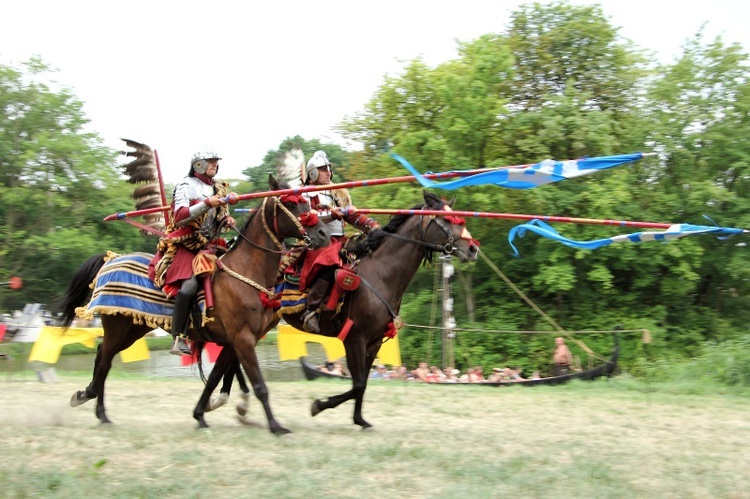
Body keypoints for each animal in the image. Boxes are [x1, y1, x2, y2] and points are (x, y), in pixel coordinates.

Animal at [57, 178, 330, 436]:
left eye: (306, 200)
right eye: (292, 203)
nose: (323, 233)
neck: (247, 272)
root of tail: (110, 260)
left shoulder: (234, 342)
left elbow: (214, 378)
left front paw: (200, 414)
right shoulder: (242, 339)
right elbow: (259, 385)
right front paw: (275, 426)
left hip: (133, 328)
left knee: (102, 353)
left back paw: (90, 400)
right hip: (118, 326)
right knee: (104, 361)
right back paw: (98, 409)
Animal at [198, 191, 482, 430]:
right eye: (446, 219)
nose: (472, 249)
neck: (380, 274)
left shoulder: (374, 342)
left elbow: (362, 384)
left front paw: (360, 419)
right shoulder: (354, 338)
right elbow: (357, 383)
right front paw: (319, 405)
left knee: (232, 360)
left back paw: (232, 405)